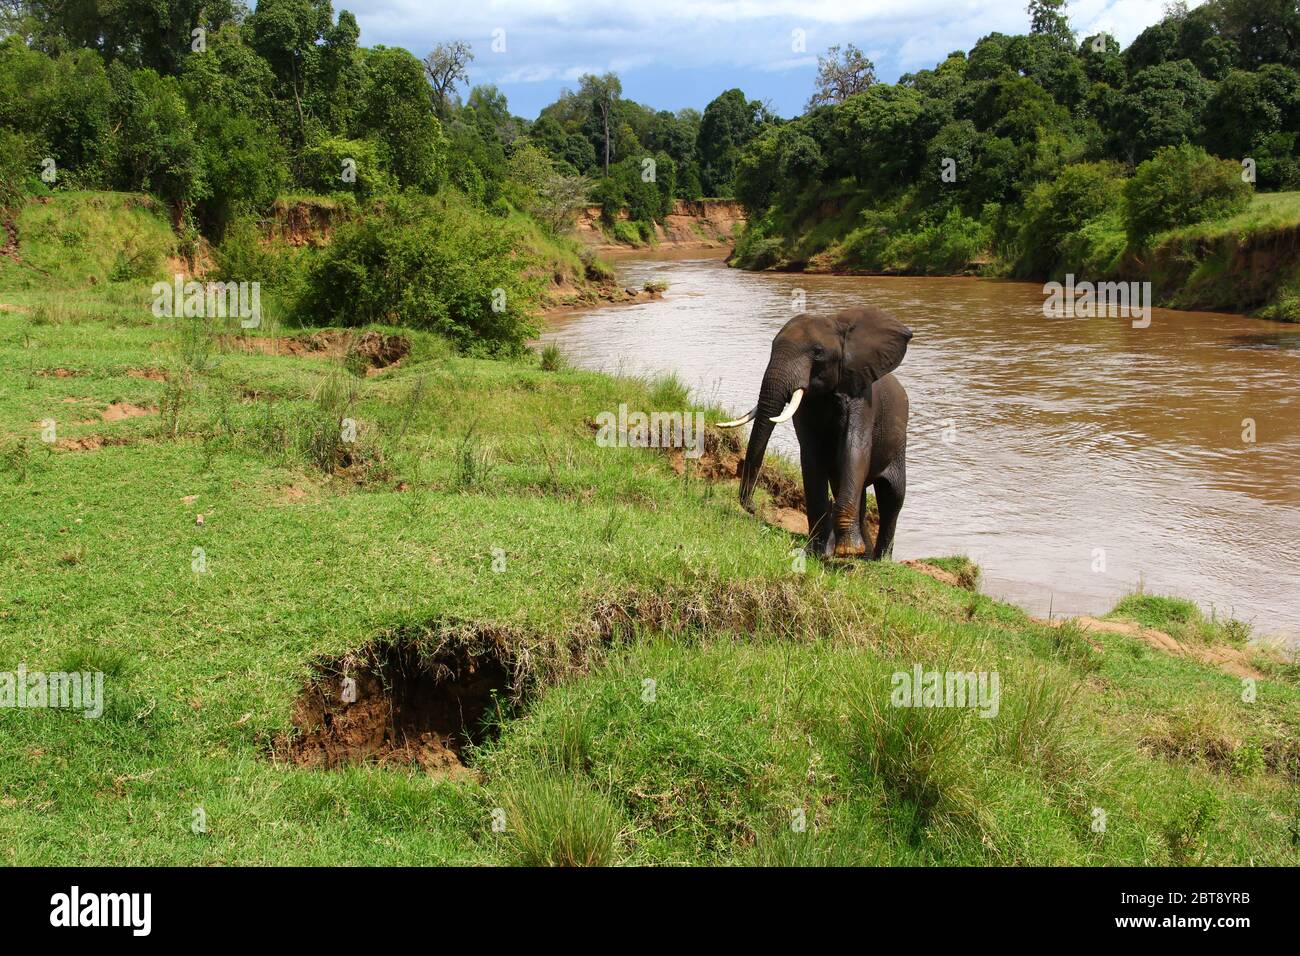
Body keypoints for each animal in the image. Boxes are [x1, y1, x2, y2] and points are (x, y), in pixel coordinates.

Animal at [722, 306, 915, 561]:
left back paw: (879, 560)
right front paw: (818, 552)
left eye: (817, 352)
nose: (753, 508)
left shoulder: (864, 399)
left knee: (892, 497)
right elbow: (812, 458)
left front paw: (845, 551)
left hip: (899, 440)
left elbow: (854, 452)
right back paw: (863, 555)